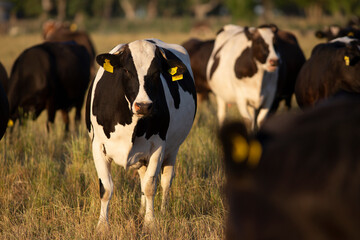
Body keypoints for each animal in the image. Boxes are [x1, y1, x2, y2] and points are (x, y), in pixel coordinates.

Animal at [85, 38, 197, 228]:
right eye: (127, 70)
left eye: (157, 72)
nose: (143, 106)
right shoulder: (98, 146)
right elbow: (106, 188)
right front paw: (102, 226)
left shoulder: (158, 147)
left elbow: (150, 186)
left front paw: (150, 222)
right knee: (143, 177)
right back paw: (140, 211)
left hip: (172, 149)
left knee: (165, 181)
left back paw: (162, 212)